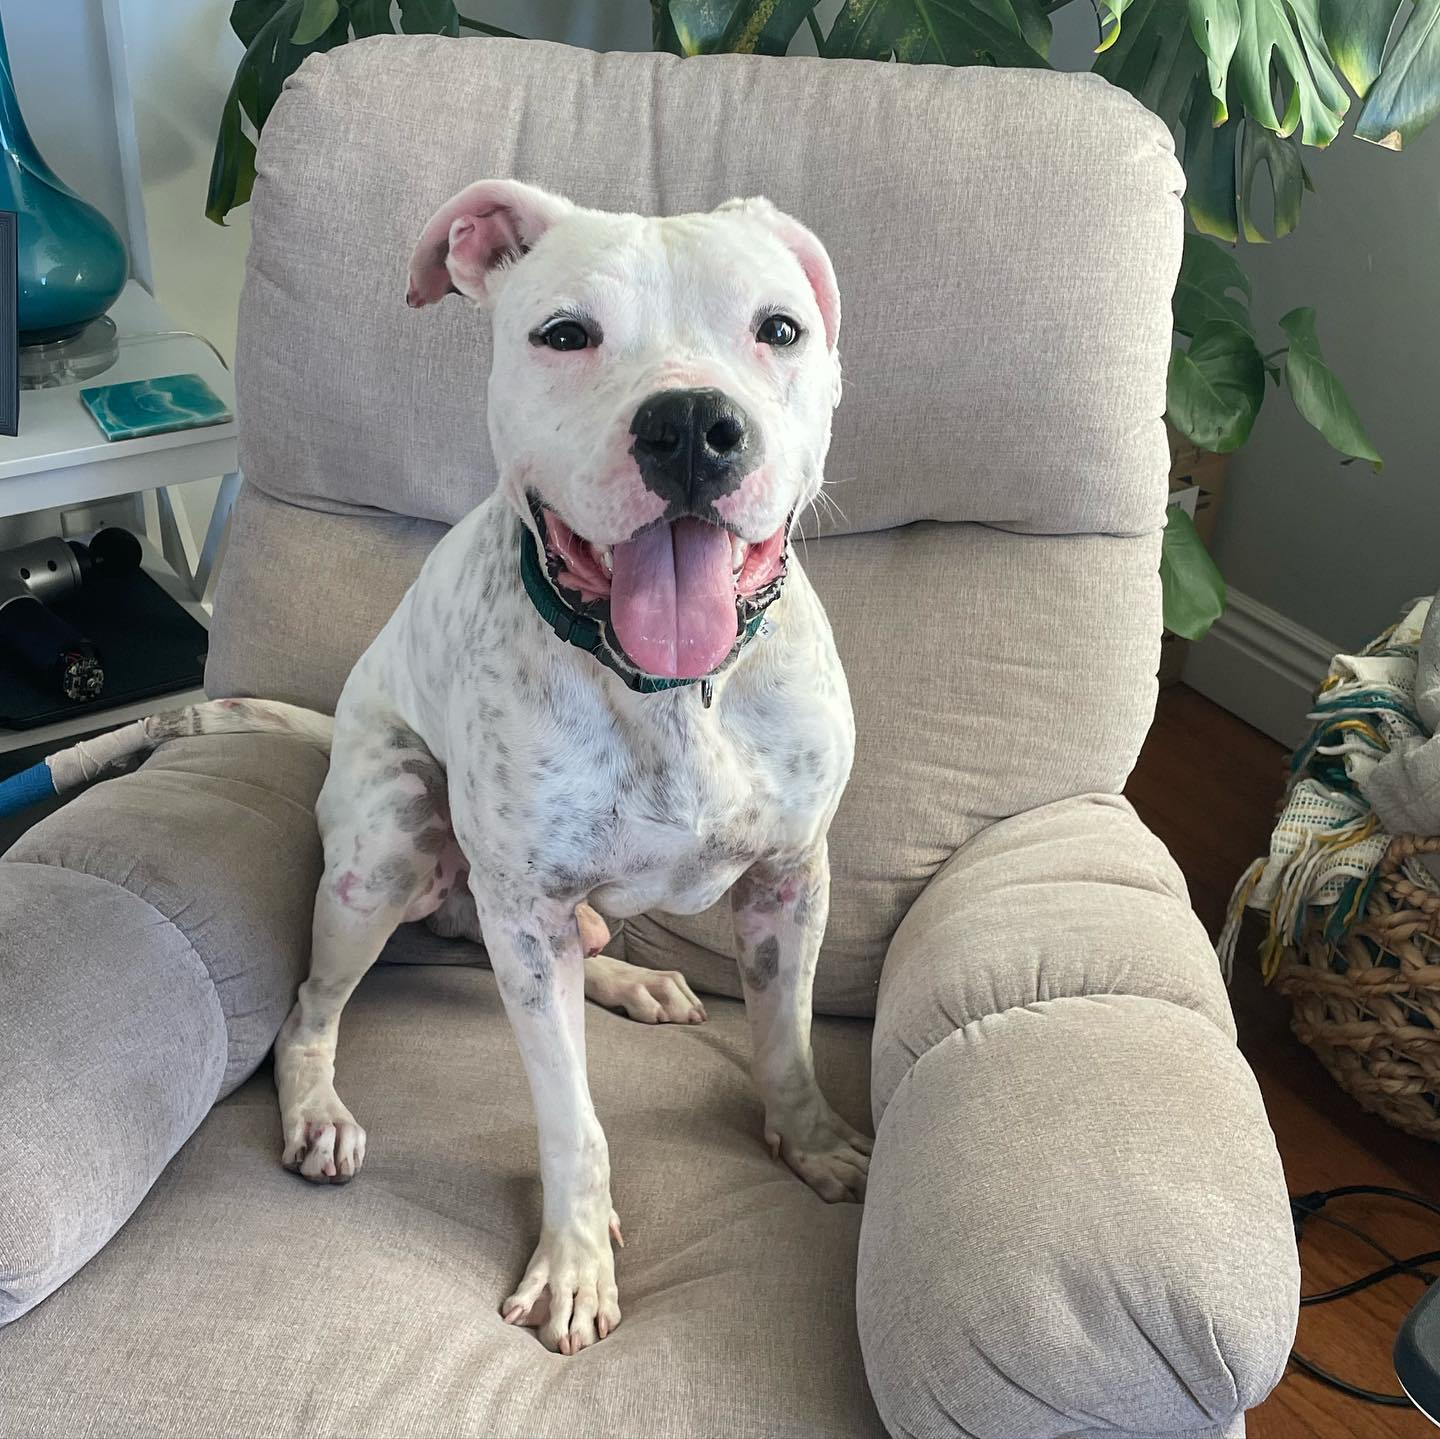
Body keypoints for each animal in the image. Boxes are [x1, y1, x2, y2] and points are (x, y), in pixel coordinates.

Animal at [56, 177, 864, 1348]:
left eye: (780, 329)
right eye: (565, 334)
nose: (689, 429)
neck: (667, 691)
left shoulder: (791, 880)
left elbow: (787, 1035)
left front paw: (813, 1140)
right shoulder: (522, 906)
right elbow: (573, 1119)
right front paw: (573, 1260)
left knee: (512, 944)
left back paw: (627, 974)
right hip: (388, 850)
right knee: (314, 1007)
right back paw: (320, 1109)